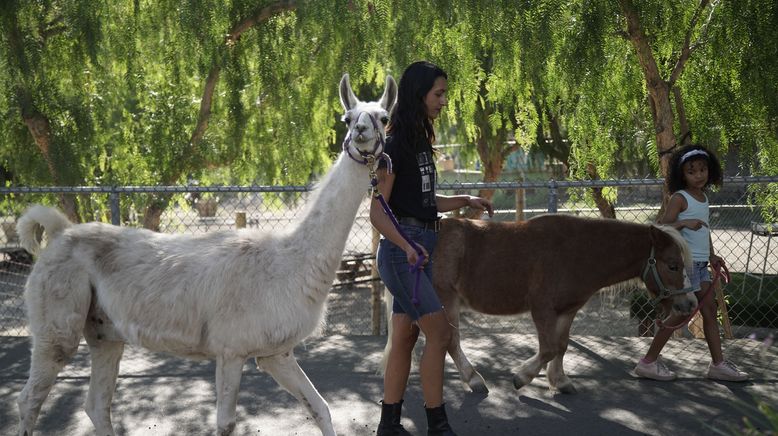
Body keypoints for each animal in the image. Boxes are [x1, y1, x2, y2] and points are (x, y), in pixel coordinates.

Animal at [434, 215, 696, 396]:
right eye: (672, 265)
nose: (690, 304)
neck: (576, 252)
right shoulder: (542, 310)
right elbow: (549, 348)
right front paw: (522, 377)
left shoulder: (567, 310)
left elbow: (561, 346)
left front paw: (559, 380)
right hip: (447, 302)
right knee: (452, 342)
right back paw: (474, 379)